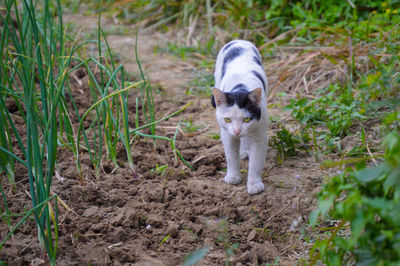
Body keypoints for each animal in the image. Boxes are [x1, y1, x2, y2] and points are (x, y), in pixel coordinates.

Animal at [211, 39, 268, 194]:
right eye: (227, 119)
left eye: (246, 119)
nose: (237, 131)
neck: (240, 88)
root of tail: (239, 40)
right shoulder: (227, 134)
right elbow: (231, 156)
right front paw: (233, 176)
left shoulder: (260, 134)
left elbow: (256, 162)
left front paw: (254, 185)